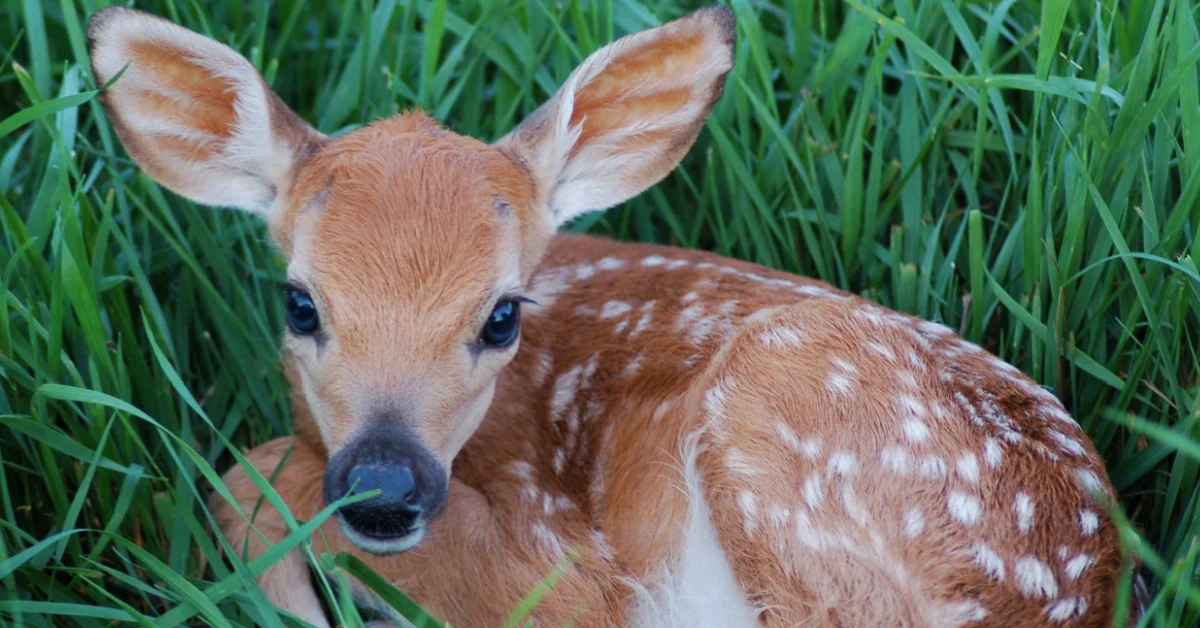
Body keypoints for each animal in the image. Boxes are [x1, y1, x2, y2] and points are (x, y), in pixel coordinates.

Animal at [87, 4, 1141, 627]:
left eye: (502, 316)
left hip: (787, 420)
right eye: (299, 301)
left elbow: (251, 475)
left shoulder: (574, 566)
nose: (384, 488)